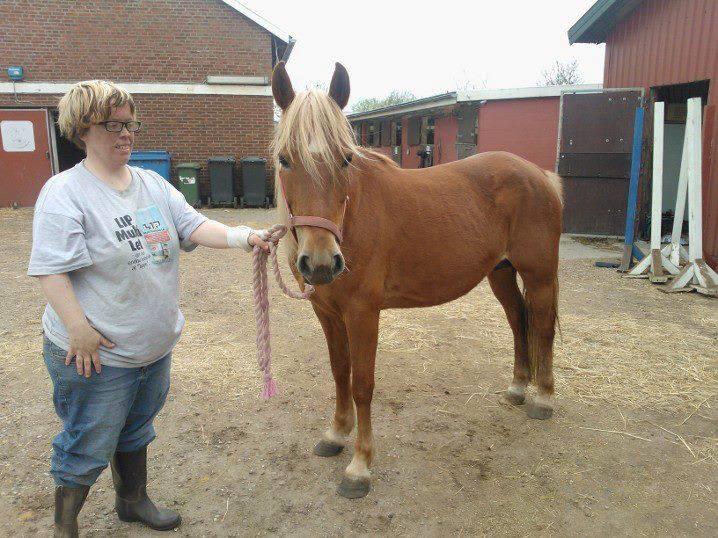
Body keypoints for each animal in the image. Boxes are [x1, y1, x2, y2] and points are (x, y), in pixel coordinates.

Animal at [270, 60, 564, 496]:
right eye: (285, 159)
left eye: (345, 159)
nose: (321, 263)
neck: (354, 215)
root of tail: (540, 175)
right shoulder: (326, 312)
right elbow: (339, 372)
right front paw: (336, 435)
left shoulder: (362, 312)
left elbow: (362, 383)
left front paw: (360, 466)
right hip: (501, 273)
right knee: (518, 321)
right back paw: (517, 388)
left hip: (539, 274)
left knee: (541, 327)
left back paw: (543, 399)